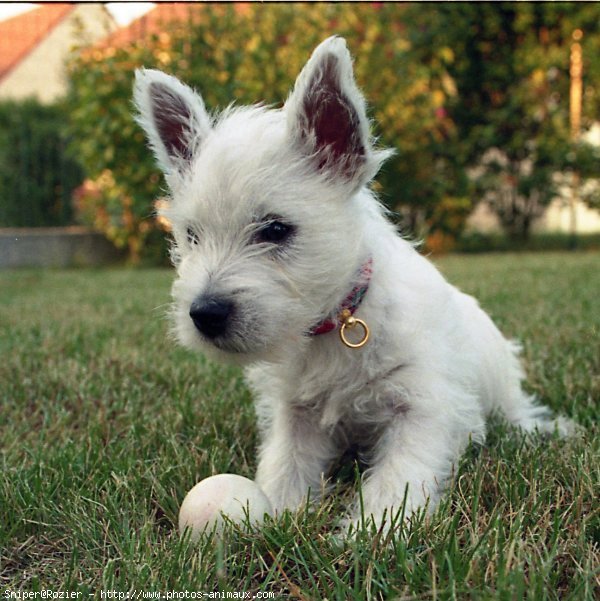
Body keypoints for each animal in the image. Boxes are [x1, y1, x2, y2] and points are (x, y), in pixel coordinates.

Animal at [134, 36, 576, 528]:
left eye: (275, 229)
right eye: (191, 235)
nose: (204, 314)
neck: (340, 321)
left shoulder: (423, 406)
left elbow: (399, 476)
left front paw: (372, 531)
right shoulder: (296, 412)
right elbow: (285, 464)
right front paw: (279, 514)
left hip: (499, 384)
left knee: (517, 413)